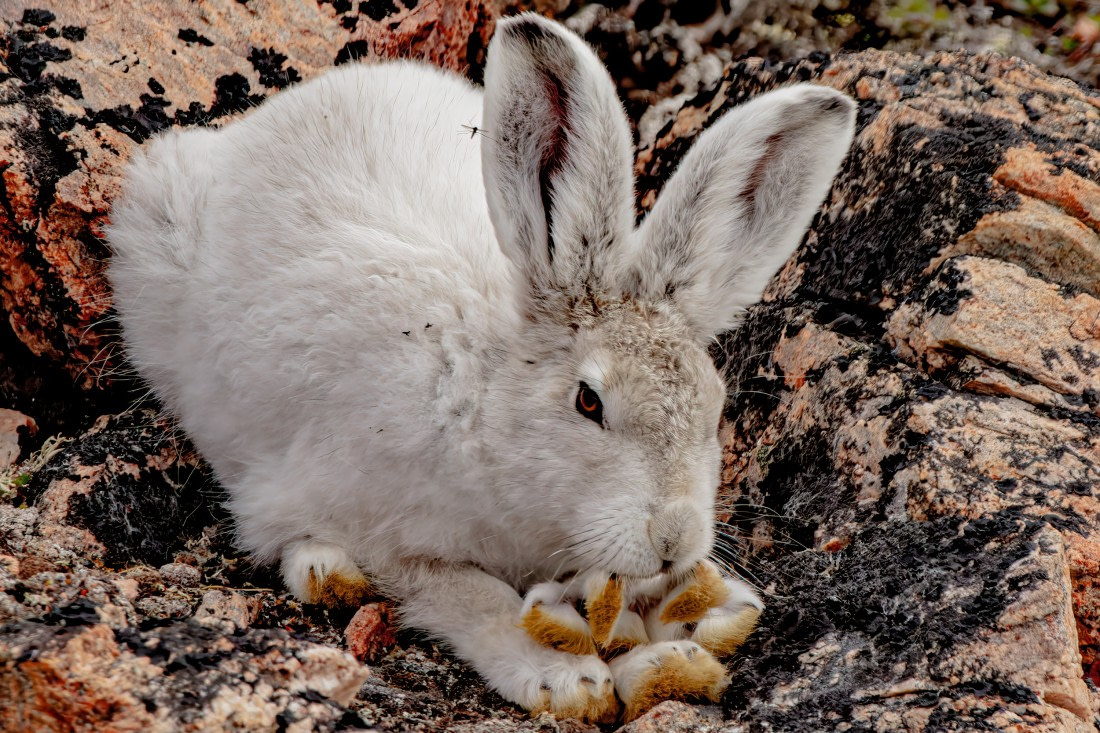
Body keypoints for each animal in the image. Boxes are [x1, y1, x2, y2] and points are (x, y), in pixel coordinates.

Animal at [107, 12, 855, 721]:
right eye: (589, 401)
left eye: (716, 404)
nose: (673, 539)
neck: (486, 406)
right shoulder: (380, 523)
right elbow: (469, 593)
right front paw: (568, 678)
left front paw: (681, 645)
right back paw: (325, 569)